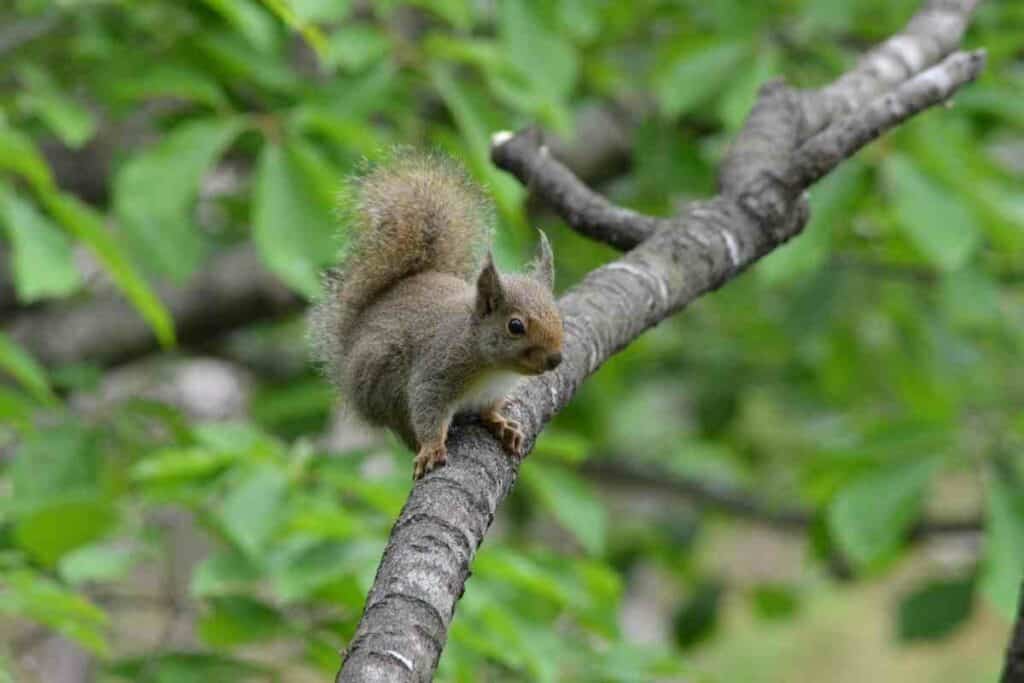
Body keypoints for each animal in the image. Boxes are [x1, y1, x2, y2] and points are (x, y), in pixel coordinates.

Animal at [311, 152, 569, 479]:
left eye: (558, 314)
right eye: (515, 326)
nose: (555, 359)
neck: (492, 366)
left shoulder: (492, 392)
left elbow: (490, 409)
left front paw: (500, 423)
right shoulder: (436, 371)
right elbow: (427, 410)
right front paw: (432, 447)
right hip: (382, 379)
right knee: (400, 425)